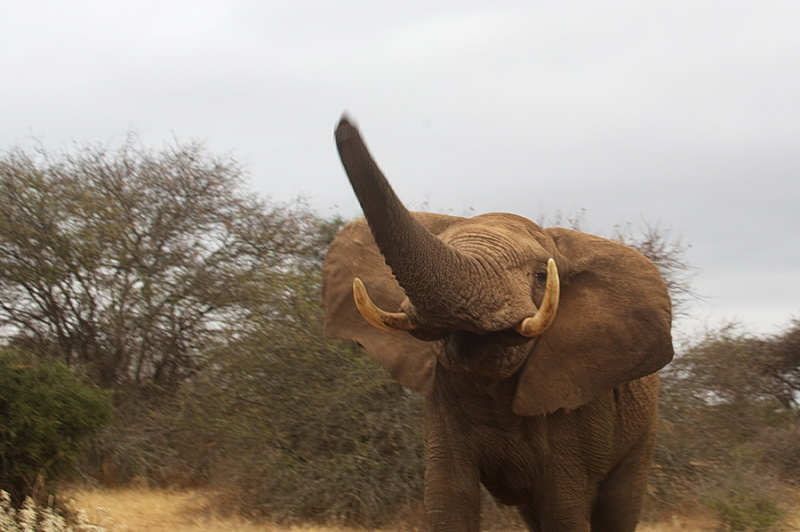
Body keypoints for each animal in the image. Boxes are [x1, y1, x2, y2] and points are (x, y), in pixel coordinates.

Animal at [322, 117, 672, 532]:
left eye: (542, 275)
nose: (346, 124)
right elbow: (449, 503)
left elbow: (564, 512)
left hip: (643, 429)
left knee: (616, 508)